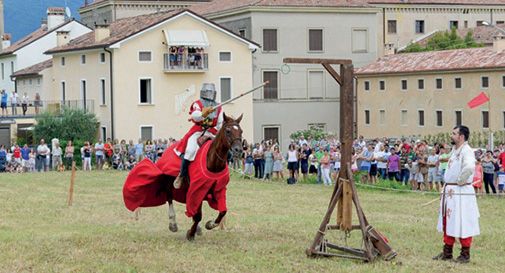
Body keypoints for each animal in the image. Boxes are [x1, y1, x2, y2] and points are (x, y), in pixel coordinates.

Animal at [164, 111, 243, 239]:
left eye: (241, 131)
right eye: (228, 131)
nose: (238, 150)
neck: (212, 161)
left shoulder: (219, 189)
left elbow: (223, 211)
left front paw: (210, 224)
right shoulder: (198, 189)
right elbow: (198, 215)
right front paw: (191, 233)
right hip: (169, 182)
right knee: (169, 197)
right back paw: (173, 224)